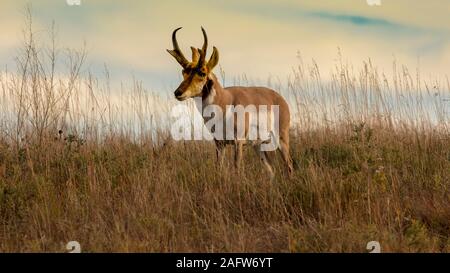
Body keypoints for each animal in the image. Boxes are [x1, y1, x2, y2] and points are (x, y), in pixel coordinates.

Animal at [167, 26, 294, 178]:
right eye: (184, 72)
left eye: (202, 73)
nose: (178, 92)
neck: (225, 101)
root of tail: (279, 98)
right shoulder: (219, 143)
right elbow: (219, 168)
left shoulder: (238, 142)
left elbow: (236, 168)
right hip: (258, 145)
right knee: (271, 170)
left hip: (281, 139)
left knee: (289, 165)